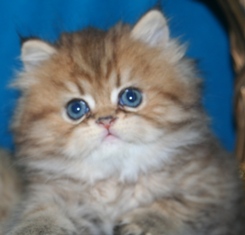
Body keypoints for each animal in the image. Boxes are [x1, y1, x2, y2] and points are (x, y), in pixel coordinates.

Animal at [0, 10, 244, 234]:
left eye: (131, 97)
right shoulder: (50, 195)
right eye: (76, 109)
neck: (115, 180)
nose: (106, 120)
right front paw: (36, 228)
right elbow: (42, 214)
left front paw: (144, 222)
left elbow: (177, 204)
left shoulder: (216, 190)